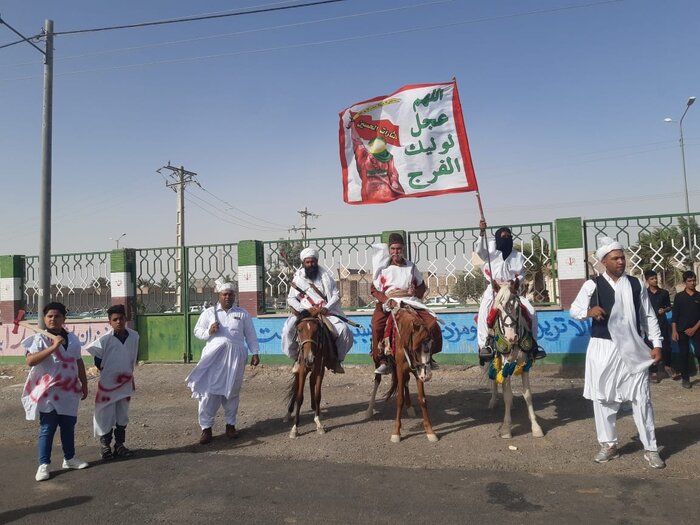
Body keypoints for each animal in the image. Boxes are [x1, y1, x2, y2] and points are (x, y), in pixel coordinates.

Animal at [366, 302, 438, 442]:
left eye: (432, 344)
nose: (427, 376)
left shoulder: (417, 371)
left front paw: (430, 432)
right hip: (378, 359)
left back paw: (410, 407)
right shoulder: (400, 369)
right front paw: (396, 433)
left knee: (405, 382)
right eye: (416, 347)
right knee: (377, 380)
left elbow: (422, 399)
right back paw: (369, 410)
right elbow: (399, 399)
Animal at [486, 282, 548, 438]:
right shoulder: (506, 363)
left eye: (517, 307)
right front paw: (507, 429)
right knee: (495, 379)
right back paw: (493, 401)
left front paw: (536, 427)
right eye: (499, 309)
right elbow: (507, 395)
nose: (511, 337)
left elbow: (527, 394)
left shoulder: (525, 364)